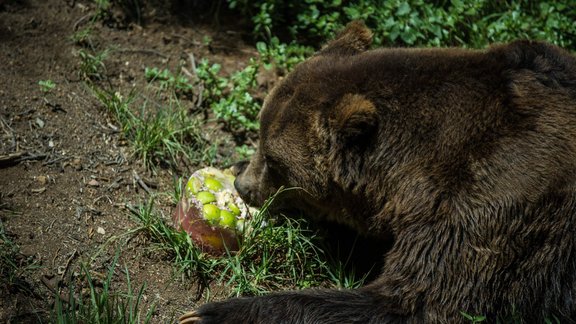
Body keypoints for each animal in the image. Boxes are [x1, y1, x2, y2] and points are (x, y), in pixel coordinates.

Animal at [180, 21, 576, 322]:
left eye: (276, 163)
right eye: (260, 135)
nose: (244, 186)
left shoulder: (491, 205)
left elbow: (414, 302)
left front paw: (207, 314)